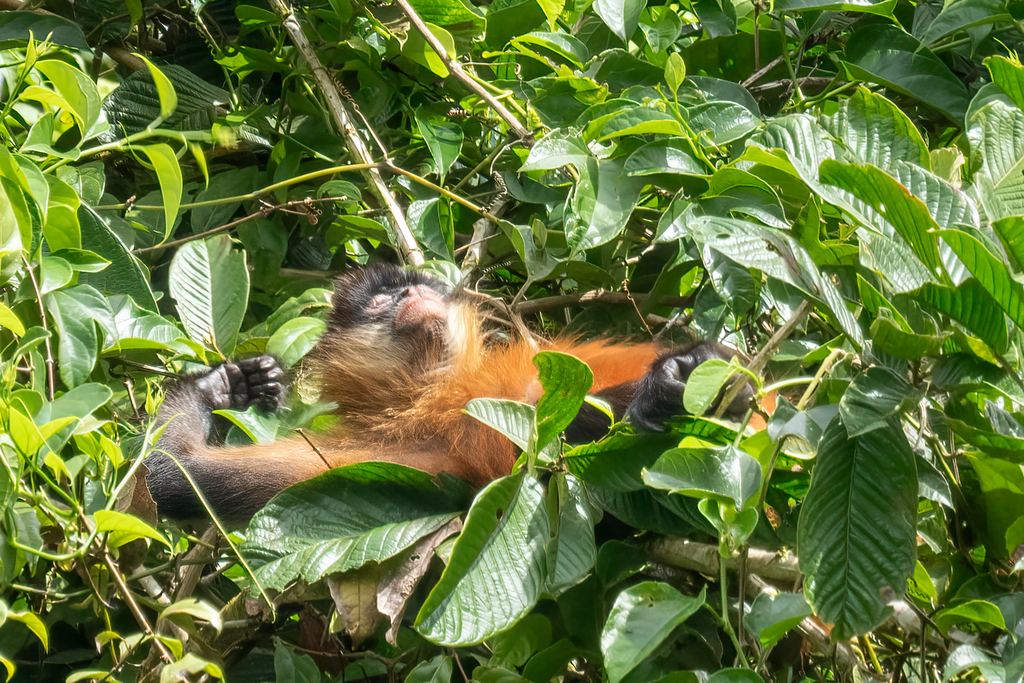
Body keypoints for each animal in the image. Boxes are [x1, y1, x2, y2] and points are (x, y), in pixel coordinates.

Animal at [145, 264, 759, 523]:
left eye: (410, 287)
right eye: (381, 300)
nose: (408, 294)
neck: (443, 389)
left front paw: (687, 371)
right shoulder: (406, 446)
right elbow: (176, 480)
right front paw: (222, 386)